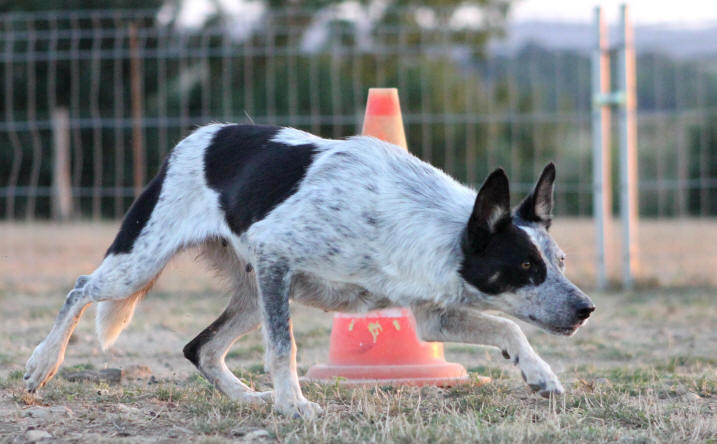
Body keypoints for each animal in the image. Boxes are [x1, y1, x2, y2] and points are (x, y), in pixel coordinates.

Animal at [23, 123, 592, 418]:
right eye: (526, 266)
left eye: (559, 262)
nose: (586, 309)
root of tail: (195, 137)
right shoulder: (277, 254)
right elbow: (285, 349)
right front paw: (294, 405)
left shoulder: (433, 317)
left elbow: (509, 328)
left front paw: (539, 374)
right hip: (142, 264)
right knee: (80, 289)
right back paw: (42, 362)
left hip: (256, 294)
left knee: (199, 347)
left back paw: (249, 398)